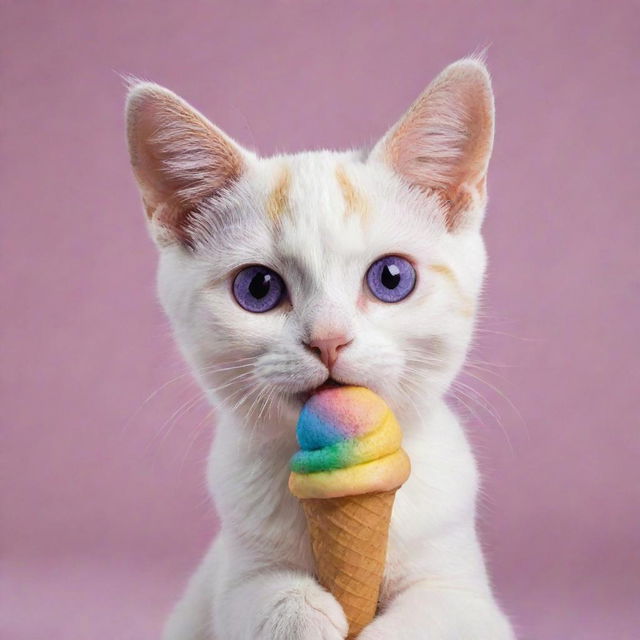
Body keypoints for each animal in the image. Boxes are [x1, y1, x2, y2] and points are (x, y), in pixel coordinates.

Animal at [125, 57, 516, 636]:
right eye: (257, 288)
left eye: (391, 278)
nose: (328, 339)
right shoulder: (229, 579)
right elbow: (251, 597)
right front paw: (298, 613)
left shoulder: (467, 596)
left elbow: (436, 612)